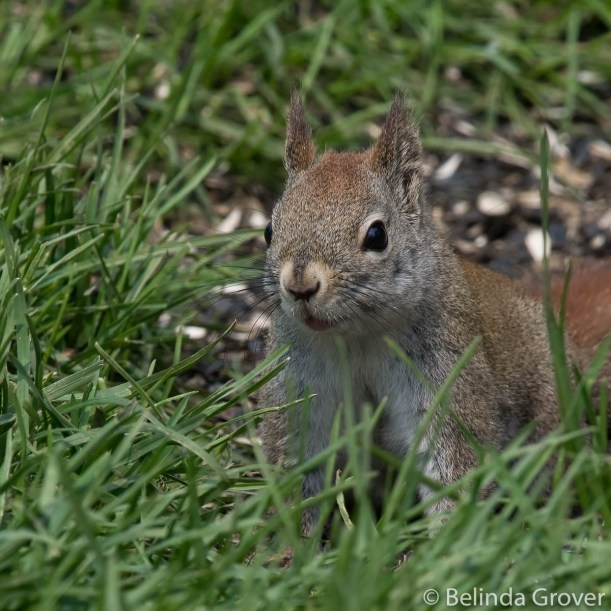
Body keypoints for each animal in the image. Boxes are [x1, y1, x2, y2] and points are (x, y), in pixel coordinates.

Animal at [258, 93, 610, 533]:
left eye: (377, 235)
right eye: (269, 230)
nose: (300, 285)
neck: (357, 337)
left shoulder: (449, 377)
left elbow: (452, 467)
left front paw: (444, 542)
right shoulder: (301, 388)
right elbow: (298, 462)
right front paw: (288, 542)